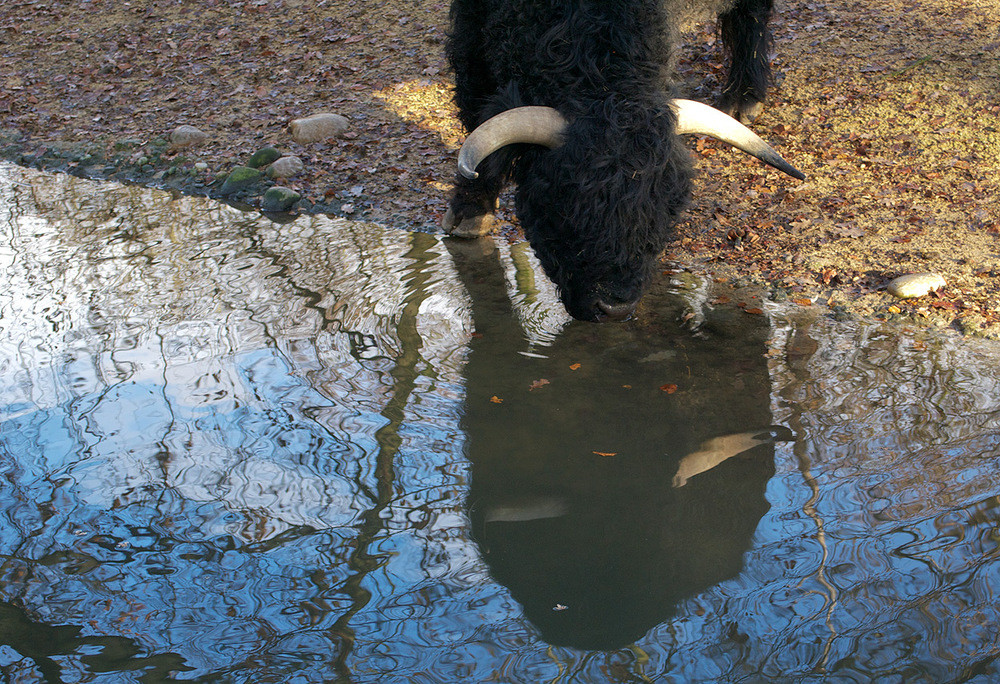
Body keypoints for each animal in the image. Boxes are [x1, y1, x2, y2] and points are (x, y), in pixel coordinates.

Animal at [442, 0, 800, 320]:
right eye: (561, 206)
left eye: (669, 211)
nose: (615, 308)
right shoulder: (472, 27)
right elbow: (478, 105)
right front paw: (469, 212)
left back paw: (744, 98)